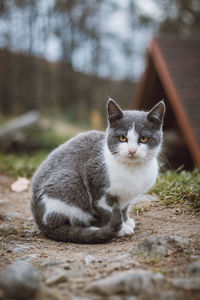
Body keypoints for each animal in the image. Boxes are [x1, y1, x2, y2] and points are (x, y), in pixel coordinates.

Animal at [30, 98, 166, 244]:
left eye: (143, 139)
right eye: (122, 138)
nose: (132, 151)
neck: (132, 170)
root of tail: (42, 223)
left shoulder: (127, 196)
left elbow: (124, 208)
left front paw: (126, 221)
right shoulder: (98, 187)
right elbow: (109, 212)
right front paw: (120, 228)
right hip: (68, 182)